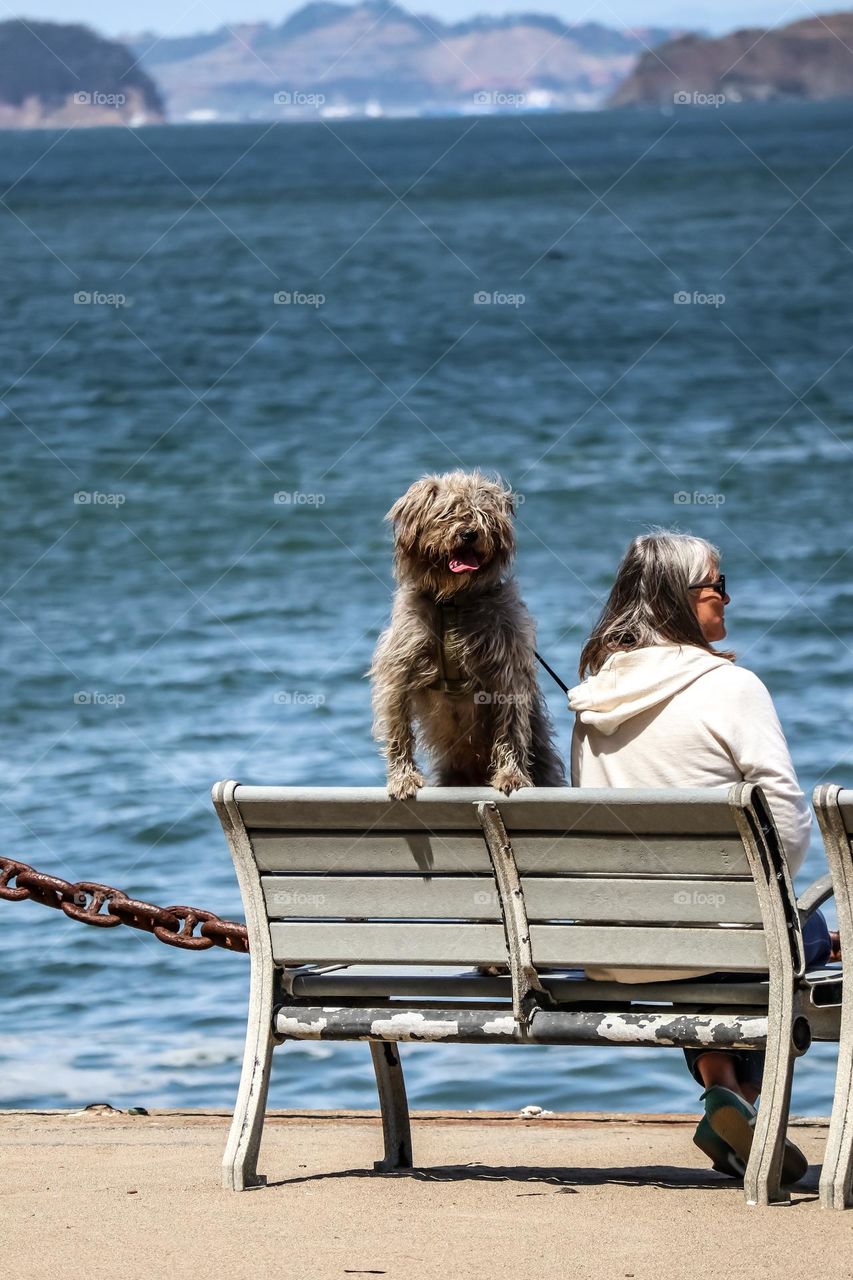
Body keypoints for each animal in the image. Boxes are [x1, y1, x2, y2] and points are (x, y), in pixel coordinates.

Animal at [371, 471, 563, 793]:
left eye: (483, 515)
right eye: (447, 513)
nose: (469, 534)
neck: (453, 600)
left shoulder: (507, 670)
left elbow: (511, 727)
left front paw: (511, 775)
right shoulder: (399, 670)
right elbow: (398, 728)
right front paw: (403, 777)